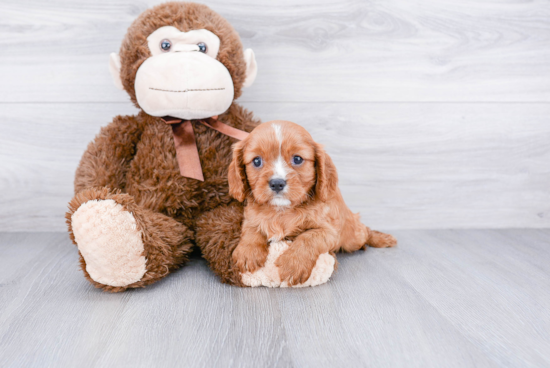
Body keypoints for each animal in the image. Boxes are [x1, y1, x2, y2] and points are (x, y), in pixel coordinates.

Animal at [229, 121, 396, 284]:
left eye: (297, 159)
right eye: (257, 161)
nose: (277, 183)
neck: (282, 210)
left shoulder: (330, 231)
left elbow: (308, 237)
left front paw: (293, 264)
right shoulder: (250, 217)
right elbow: (251, 229)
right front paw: (248, 252)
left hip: (353, 238)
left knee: (364, 231)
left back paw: (380, 238)